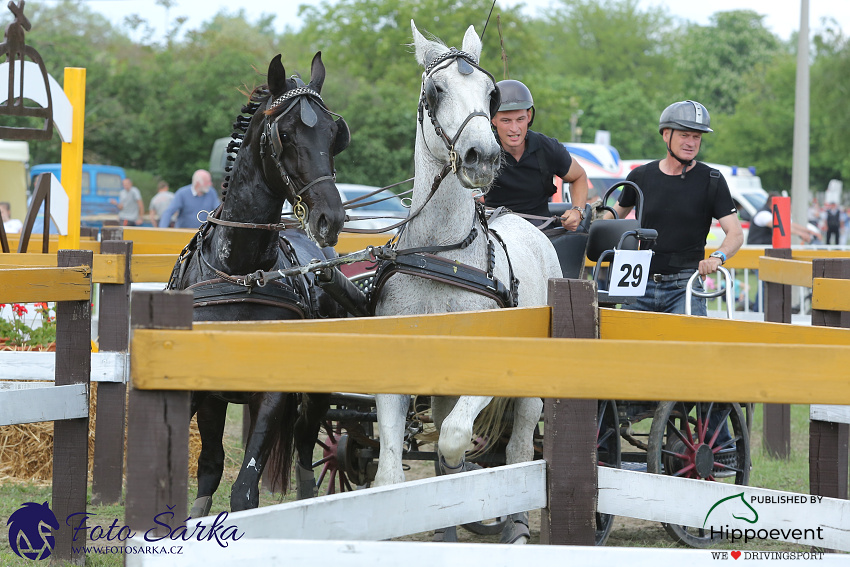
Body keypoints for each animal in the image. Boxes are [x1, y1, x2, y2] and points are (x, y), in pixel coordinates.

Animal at [166, 53, 348, 520]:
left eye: (333, 133)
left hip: (316, 393)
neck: (241, 272)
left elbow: (245, 491)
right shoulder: (201, 390)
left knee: (305, 449)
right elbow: (207, 469)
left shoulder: (273, 391)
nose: (331, 218)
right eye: (285, 134)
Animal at [372, 23, 564, 544]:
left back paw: (516, 524)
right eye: (436, 91)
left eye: (489, 93)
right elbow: (391, 475)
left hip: (530, 394)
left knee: (518, 450)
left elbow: (457, 441)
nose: (484, 156)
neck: (443, 257)